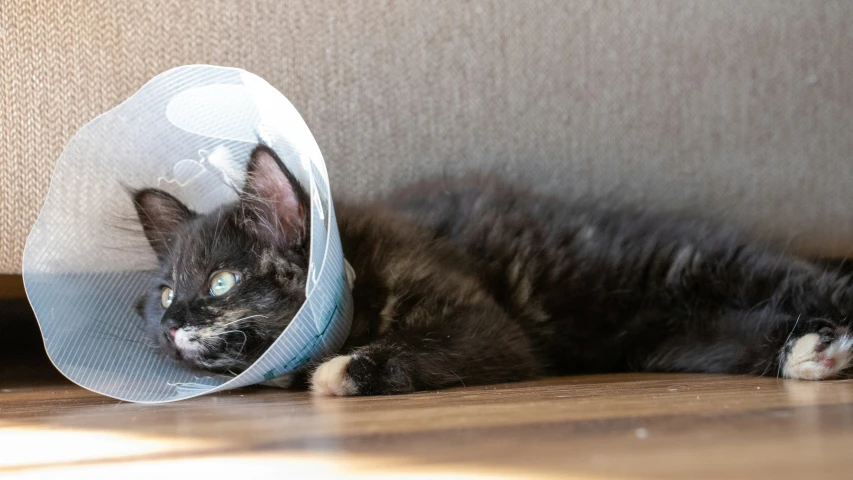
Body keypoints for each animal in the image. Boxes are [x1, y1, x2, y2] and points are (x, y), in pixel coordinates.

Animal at [131, 146, 852, 398]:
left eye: (220, 283)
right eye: (164, 293)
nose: (168, 324)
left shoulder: (490, 330)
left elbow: (421, 346)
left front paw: (341, 372)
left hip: (701, 266)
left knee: (818, 284)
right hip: (679, 341)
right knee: (756, 337)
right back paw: (815, 355)